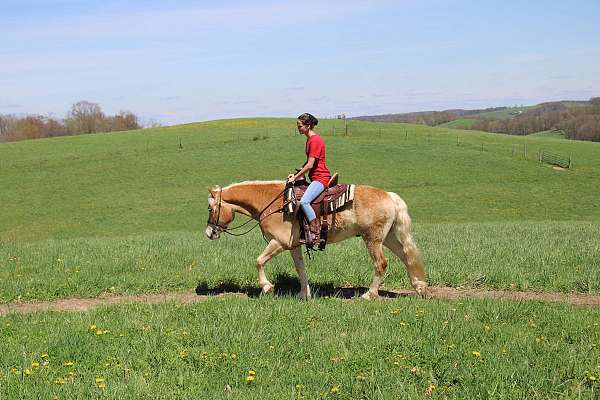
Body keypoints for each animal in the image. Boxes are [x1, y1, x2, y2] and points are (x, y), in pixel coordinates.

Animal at [206, 181, 426, 300]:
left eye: (210, 208)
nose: (209, 233)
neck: (273, 203)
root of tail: (389, 196)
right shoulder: (293, 245)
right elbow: (300, 268)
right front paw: (304, 294)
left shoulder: (278, 243)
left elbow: (258, 261)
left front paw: (267, 287)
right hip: (387, 237)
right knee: (407, 256)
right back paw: (419, 287)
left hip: (373, 238)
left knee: (381, 263)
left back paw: (369, 294)